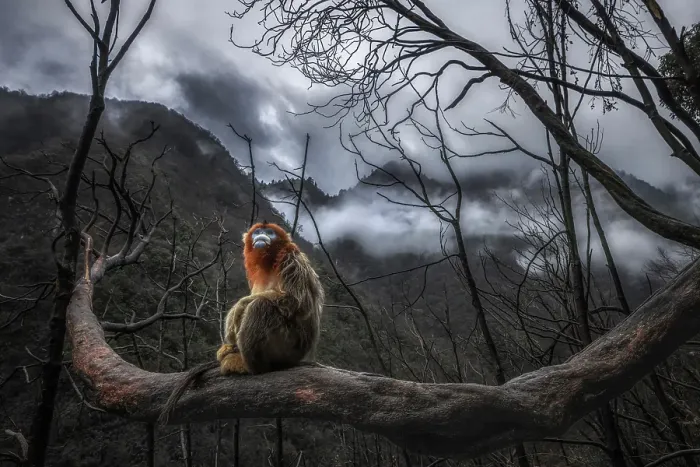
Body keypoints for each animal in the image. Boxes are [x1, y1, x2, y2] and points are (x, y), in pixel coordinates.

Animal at [158, 221, 324, 424]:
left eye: (270, 232)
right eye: (258, 232)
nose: (261, 236)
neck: (270, 261)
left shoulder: (291, 258)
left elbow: (296, 302)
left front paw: (241, 305)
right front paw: (229, 339)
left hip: (289, 347)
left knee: (261, 306)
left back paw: (253, 367)